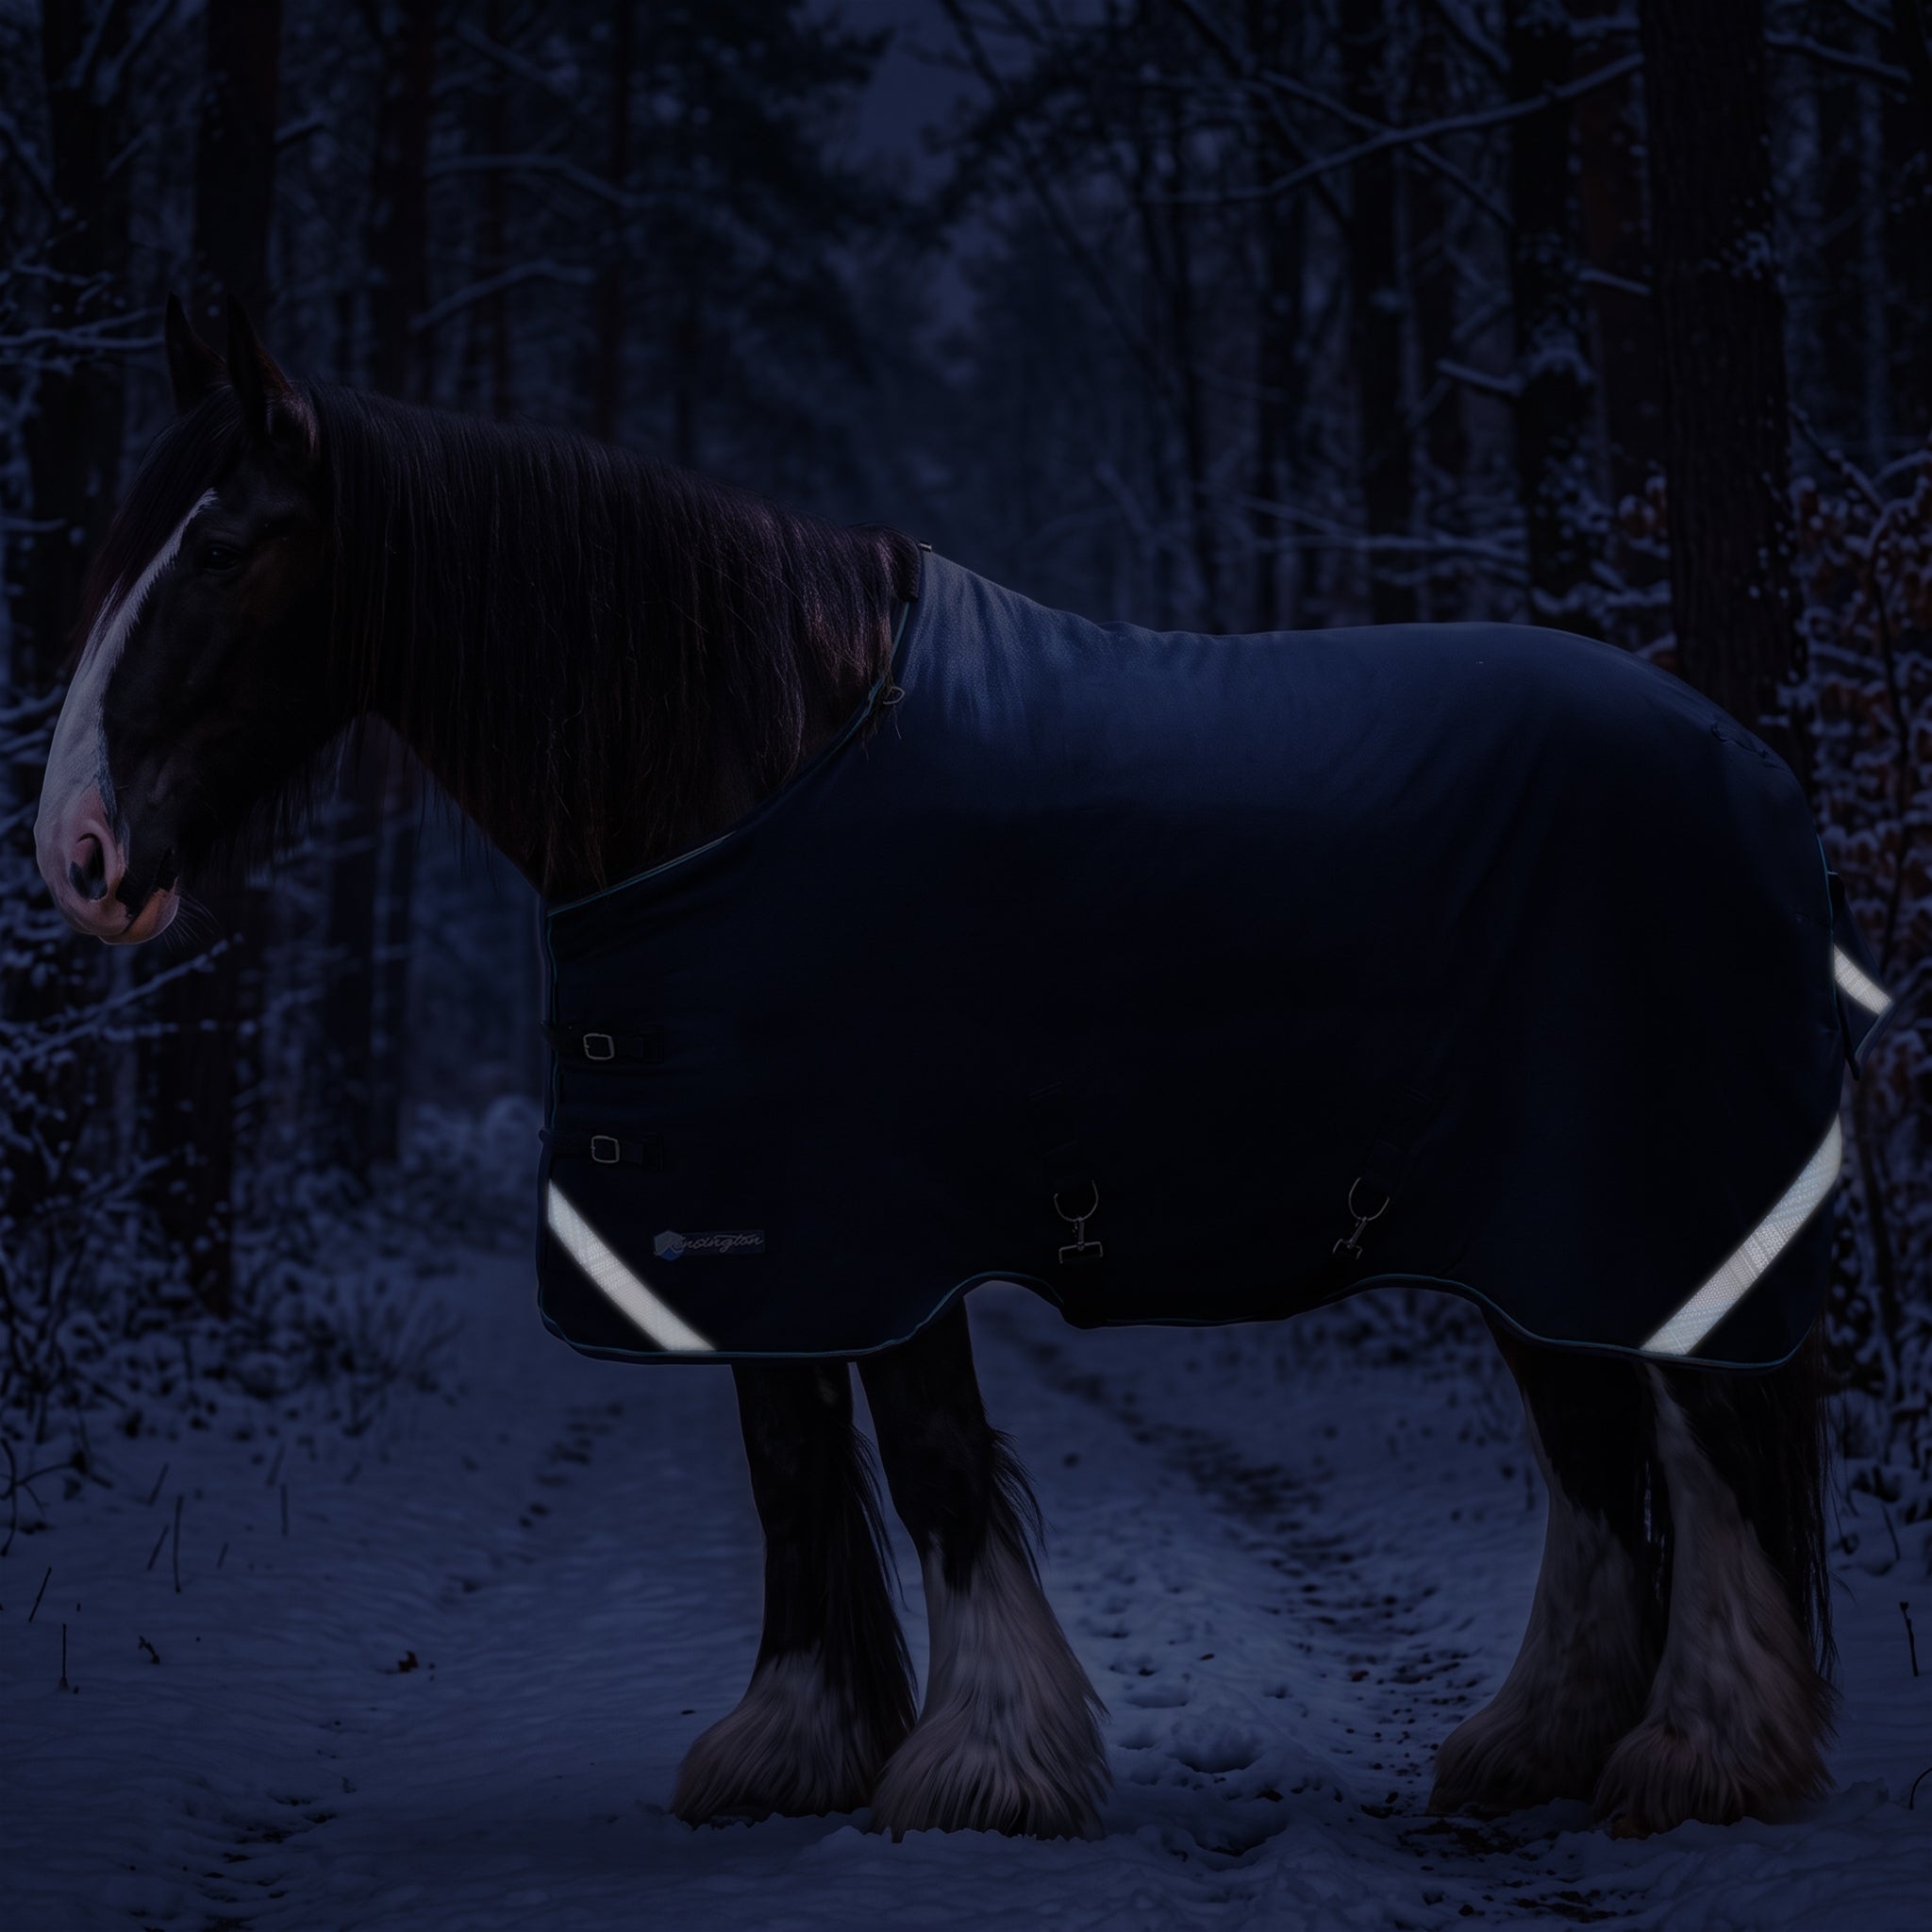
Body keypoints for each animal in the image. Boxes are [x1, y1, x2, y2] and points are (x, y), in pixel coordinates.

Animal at [33, 299, 1841, 1842]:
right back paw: (1543, 1742)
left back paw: (1699, 1751)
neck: (751, 761)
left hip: (1632, 1210)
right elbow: (787, 1462)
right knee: (1597, 1459)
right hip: (1529, 1234)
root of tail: (1750, 761)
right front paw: (796, 1743)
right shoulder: (754, 1233)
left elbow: (931, 1461)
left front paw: (984, 1763)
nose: (78, 854)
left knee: (1696, 1445)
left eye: (217, 548)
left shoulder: (885, 1226)